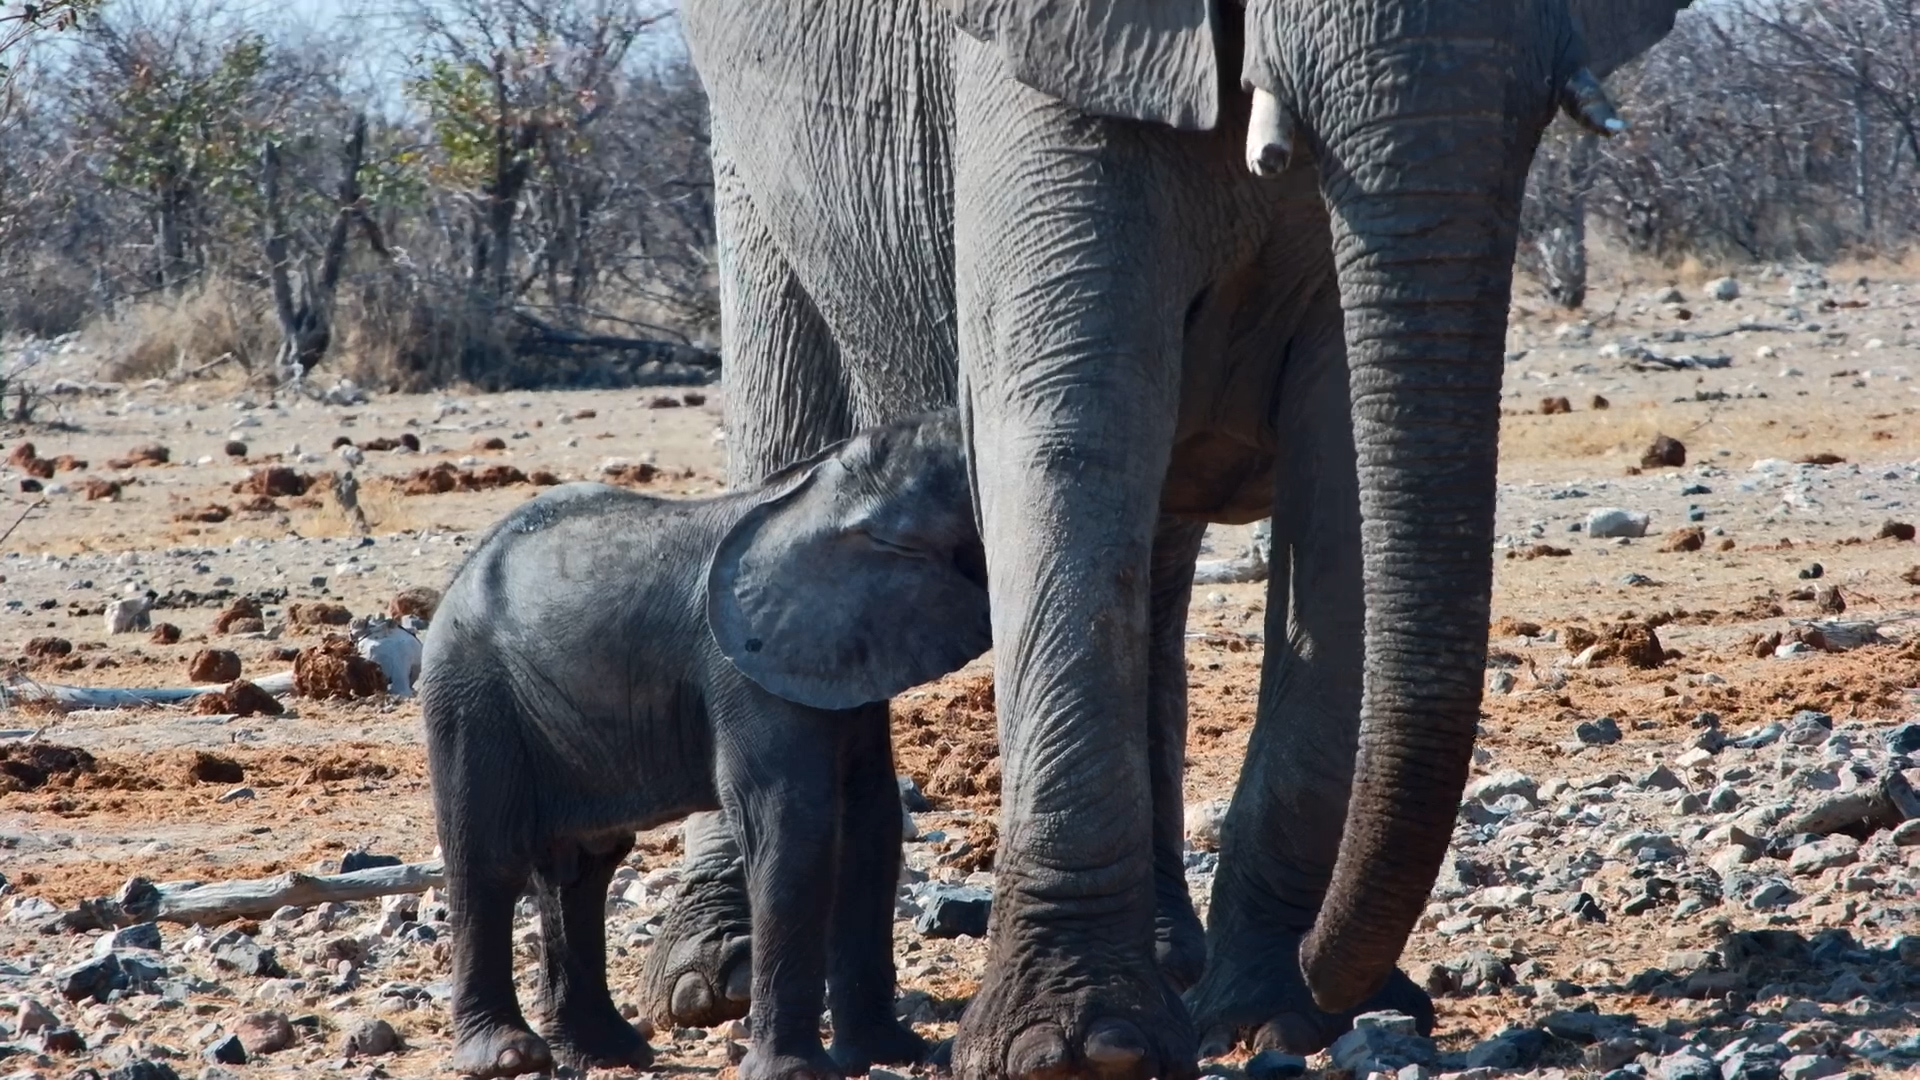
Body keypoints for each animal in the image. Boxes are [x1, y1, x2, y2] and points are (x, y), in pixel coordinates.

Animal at [419, 412, 988, 1079]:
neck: (832, 491)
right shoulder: (742, 673)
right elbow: (792, 822)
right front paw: (794, 1073)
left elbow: (871, 821)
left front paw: (892, 1054)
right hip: (471, 696)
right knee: (488, 858)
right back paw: (508, 1057)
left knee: (580, 868)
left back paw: (609, 1052)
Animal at [647, 0, 1693, 1077]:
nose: (1336, 976)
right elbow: (1073, 425)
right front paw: (1078, 1049)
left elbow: (1343, 467)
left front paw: (1274, 1016)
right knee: (783, 411)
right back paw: (712, 984)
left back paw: (1179, 961)